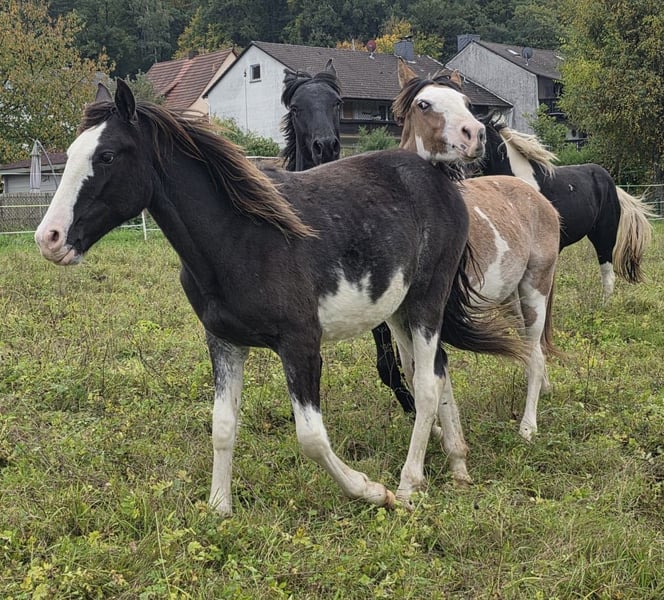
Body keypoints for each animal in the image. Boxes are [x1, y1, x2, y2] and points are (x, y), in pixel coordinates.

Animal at [34, 80, 524, 514]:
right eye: (71, 155)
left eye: (106, 155)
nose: (49, 238)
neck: (243, 237)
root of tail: (438, 176)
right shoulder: (224, 342)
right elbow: (223, 426)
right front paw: (219, 508)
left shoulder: (301, 344)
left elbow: (312, 438)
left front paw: (370, 490)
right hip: (401, 311)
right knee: (438, 371)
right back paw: (458, 465)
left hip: (426, 301)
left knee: (425, 385)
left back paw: (407, 485)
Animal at [373, 60, 561, 442]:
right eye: (424, 104)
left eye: (466, 102)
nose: (474, 134)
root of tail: (540, 201)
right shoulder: (401, 319)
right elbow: (414, 372)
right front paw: (436, 434)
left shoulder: (433, 315)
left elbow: (435, 377)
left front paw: (448, 439)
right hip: (511, 299)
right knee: (530, 349)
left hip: (535, 290)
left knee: (535, 353)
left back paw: (528, 426)